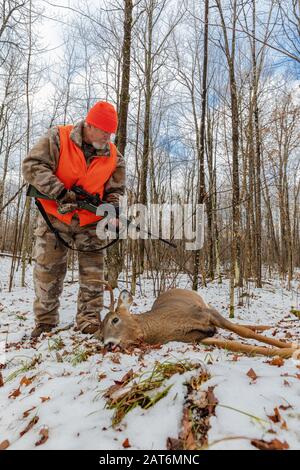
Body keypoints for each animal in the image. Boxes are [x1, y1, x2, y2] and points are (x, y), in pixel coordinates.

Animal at [95, 282, 296, 360]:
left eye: (115, 319)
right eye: (100, 334)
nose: (107, 344)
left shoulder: (206, 313)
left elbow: (243, 332)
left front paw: (292, 346)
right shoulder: (196, 338)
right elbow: (238, 345)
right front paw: (291, 351)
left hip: (204, 303)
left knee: (242, 326)